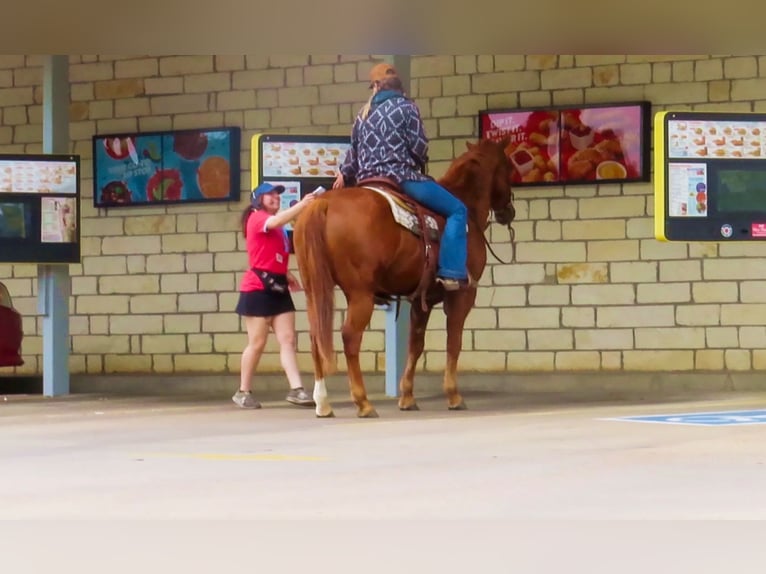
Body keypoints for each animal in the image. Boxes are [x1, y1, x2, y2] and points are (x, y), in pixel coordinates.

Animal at [294, 140, 516, 418]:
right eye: (509, 168)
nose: (509, 212)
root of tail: (322, 204)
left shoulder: (422, 298)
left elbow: (415, 343)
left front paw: (407, 397)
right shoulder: (462, 295)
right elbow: (454, 341)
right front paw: (454, 395)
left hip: (314, 289)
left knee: (317, 337)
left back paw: (323, 403)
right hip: (360, 294)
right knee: (350, 337)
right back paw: (363, 402)